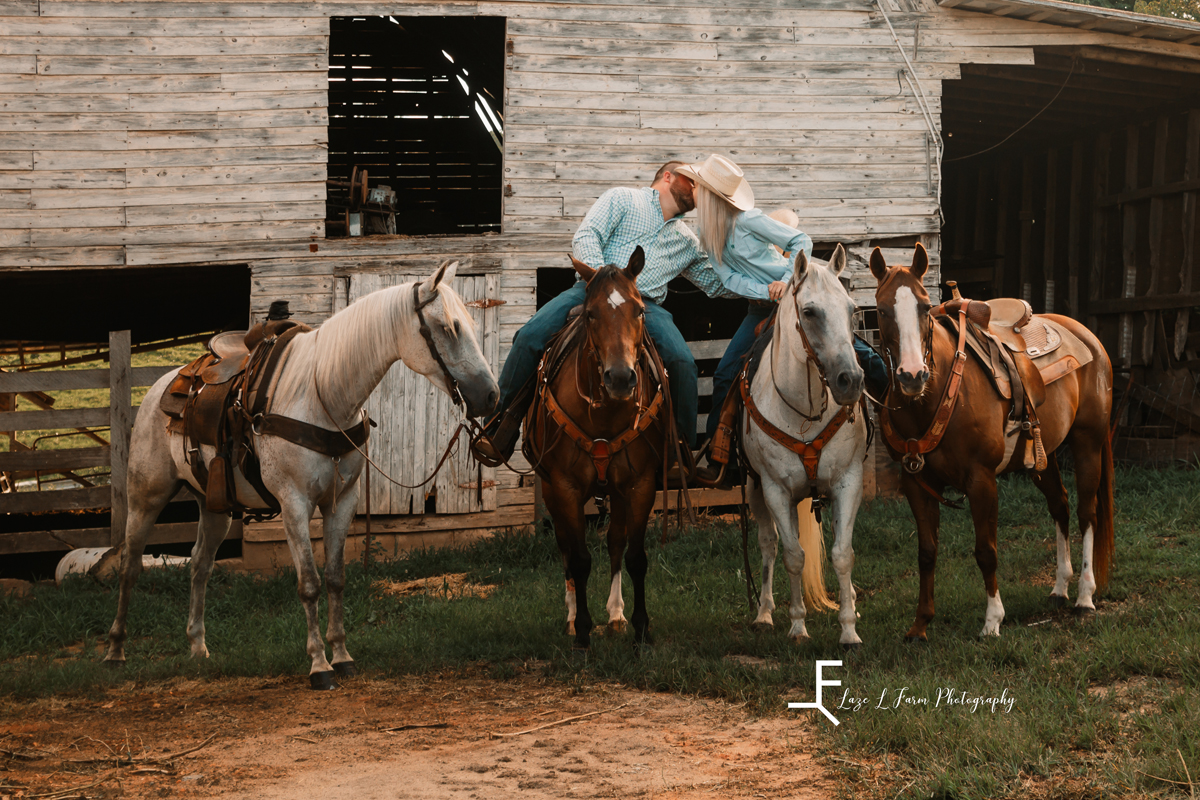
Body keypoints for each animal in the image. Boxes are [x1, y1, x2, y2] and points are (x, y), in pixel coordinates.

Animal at [103, 262, 496, 690]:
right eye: (447, 327)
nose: (491, 395)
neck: (323, 394)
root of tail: (163, 386)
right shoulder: (294, 504)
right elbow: (309, 584)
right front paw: (320, 665)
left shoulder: (342, 502)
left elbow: (336, 578)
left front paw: (342, 656)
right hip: (146, 497)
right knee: (129, 567)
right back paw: (115, 650)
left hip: (215, 506)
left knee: (199, 566)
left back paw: (198, 647)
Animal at [525, 247, 672, 652]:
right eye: (591, 314)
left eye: (640, 310)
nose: (620, 378)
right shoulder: (565, 487)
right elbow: (578, 559)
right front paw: (582, 632)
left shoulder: (640, 485)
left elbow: (635, 555)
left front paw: (640, 628)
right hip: (551, 489)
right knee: (564, 548)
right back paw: (572, 616)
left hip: (617, 492)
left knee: (615, 542)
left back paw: (617, 615)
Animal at [734, 247, 868, 647]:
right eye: (809, 312)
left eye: (852, 309)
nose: (850, 381)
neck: (804, 412)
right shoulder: (775, 489)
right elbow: (793, 555)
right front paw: (797, 626)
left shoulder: (848, 482)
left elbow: (842, 554)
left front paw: (849, 630)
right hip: (758, 491)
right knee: (769, 543)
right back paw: (764, 613)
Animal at [873, 247, 1113, 642]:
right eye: (880, 309)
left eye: (924, 306)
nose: (912, 376)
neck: (935, 397)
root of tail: (1087, 337)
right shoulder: (916, 483)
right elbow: (926, 551)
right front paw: (920, 625)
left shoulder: (981, 479)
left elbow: (986, 550)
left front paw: (992, 620)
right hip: (1041, 457)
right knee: (1060, 505)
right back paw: (1060, 588)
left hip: (1088, 441)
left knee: (1086, 513)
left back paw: (1084, 596)